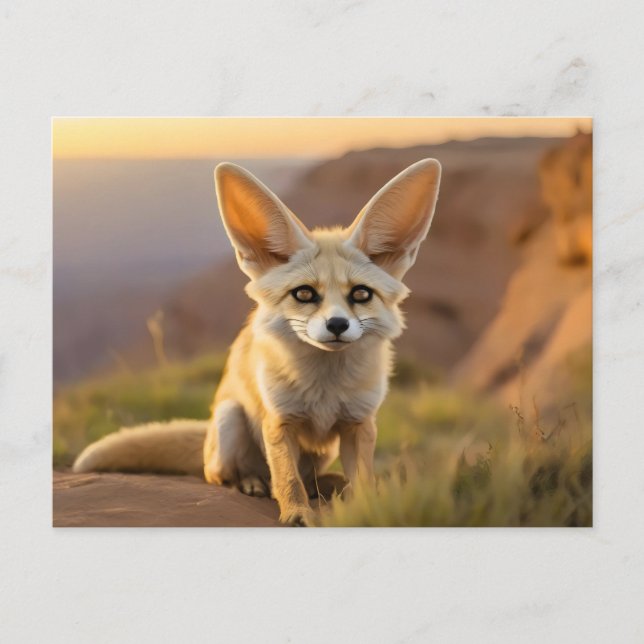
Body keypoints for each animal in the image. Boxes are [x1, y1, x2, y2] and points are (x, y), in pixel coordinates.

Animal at [73, 158, 442, 526]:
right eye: (304, 294)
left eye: (361, 294)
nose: (337, 324)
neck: (324, 388)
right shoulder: (279, 421)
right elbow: (287, 480)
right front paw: (296, 516)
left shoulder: (359, 424)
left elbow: (360, 482)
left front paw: (365, 510)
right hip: (230, 419)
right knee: (221, 475)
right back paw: (250, 483)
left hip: (323, 451)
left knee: (312, 479)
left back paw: (326, 485)